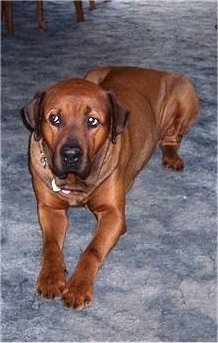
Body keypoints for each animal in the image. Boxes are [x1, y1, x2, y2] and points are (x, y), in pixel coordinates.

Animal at [22, 66, 199, 310]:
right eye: (54, 119)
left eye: (92, 121)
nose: (70, 155)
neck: (76, 180)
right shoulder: (50, 208)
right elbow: (50, 245)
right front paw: (51, 277)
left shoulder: (113, 215)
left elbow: (92, 250)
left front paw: (78, 287)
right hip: (92, 74)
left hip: (184, 91)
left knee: (172, 138)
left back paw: (172, 157)